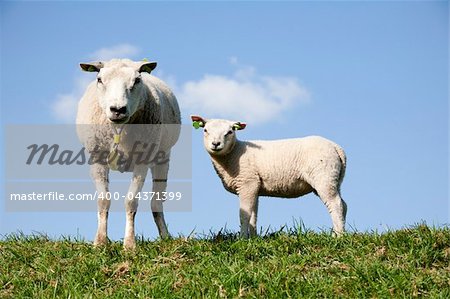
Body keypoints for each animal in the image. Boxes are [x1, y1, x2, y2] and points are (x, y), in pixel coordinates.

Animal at [76, 58, 180, 251]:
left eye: (137, 80)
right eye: (99, 79)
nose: (118, 109)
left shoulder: (143, 160)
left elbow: (131, 202)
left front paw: (130, 245)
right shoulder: (97, 159)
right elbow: (103, 201)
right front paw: (100, 242)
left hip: (163, 157)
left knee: (156, 202)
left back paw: (165, 236)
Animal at [190, 116, 348, 238]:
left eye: (230, 132)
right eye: (205, 130)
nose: (215, 144)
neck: (234, 154)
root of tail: (337, 148)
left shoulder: (247, 183)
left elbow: (244, 215)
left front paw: (242, 239)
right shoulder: (254, 187)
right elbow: (253, 215)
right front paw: (253, 239)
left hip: (323, 176)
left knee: (335, 204)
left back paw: (339, 236)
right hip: (334, 179)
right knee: (343, 204)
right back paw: (338, 233)